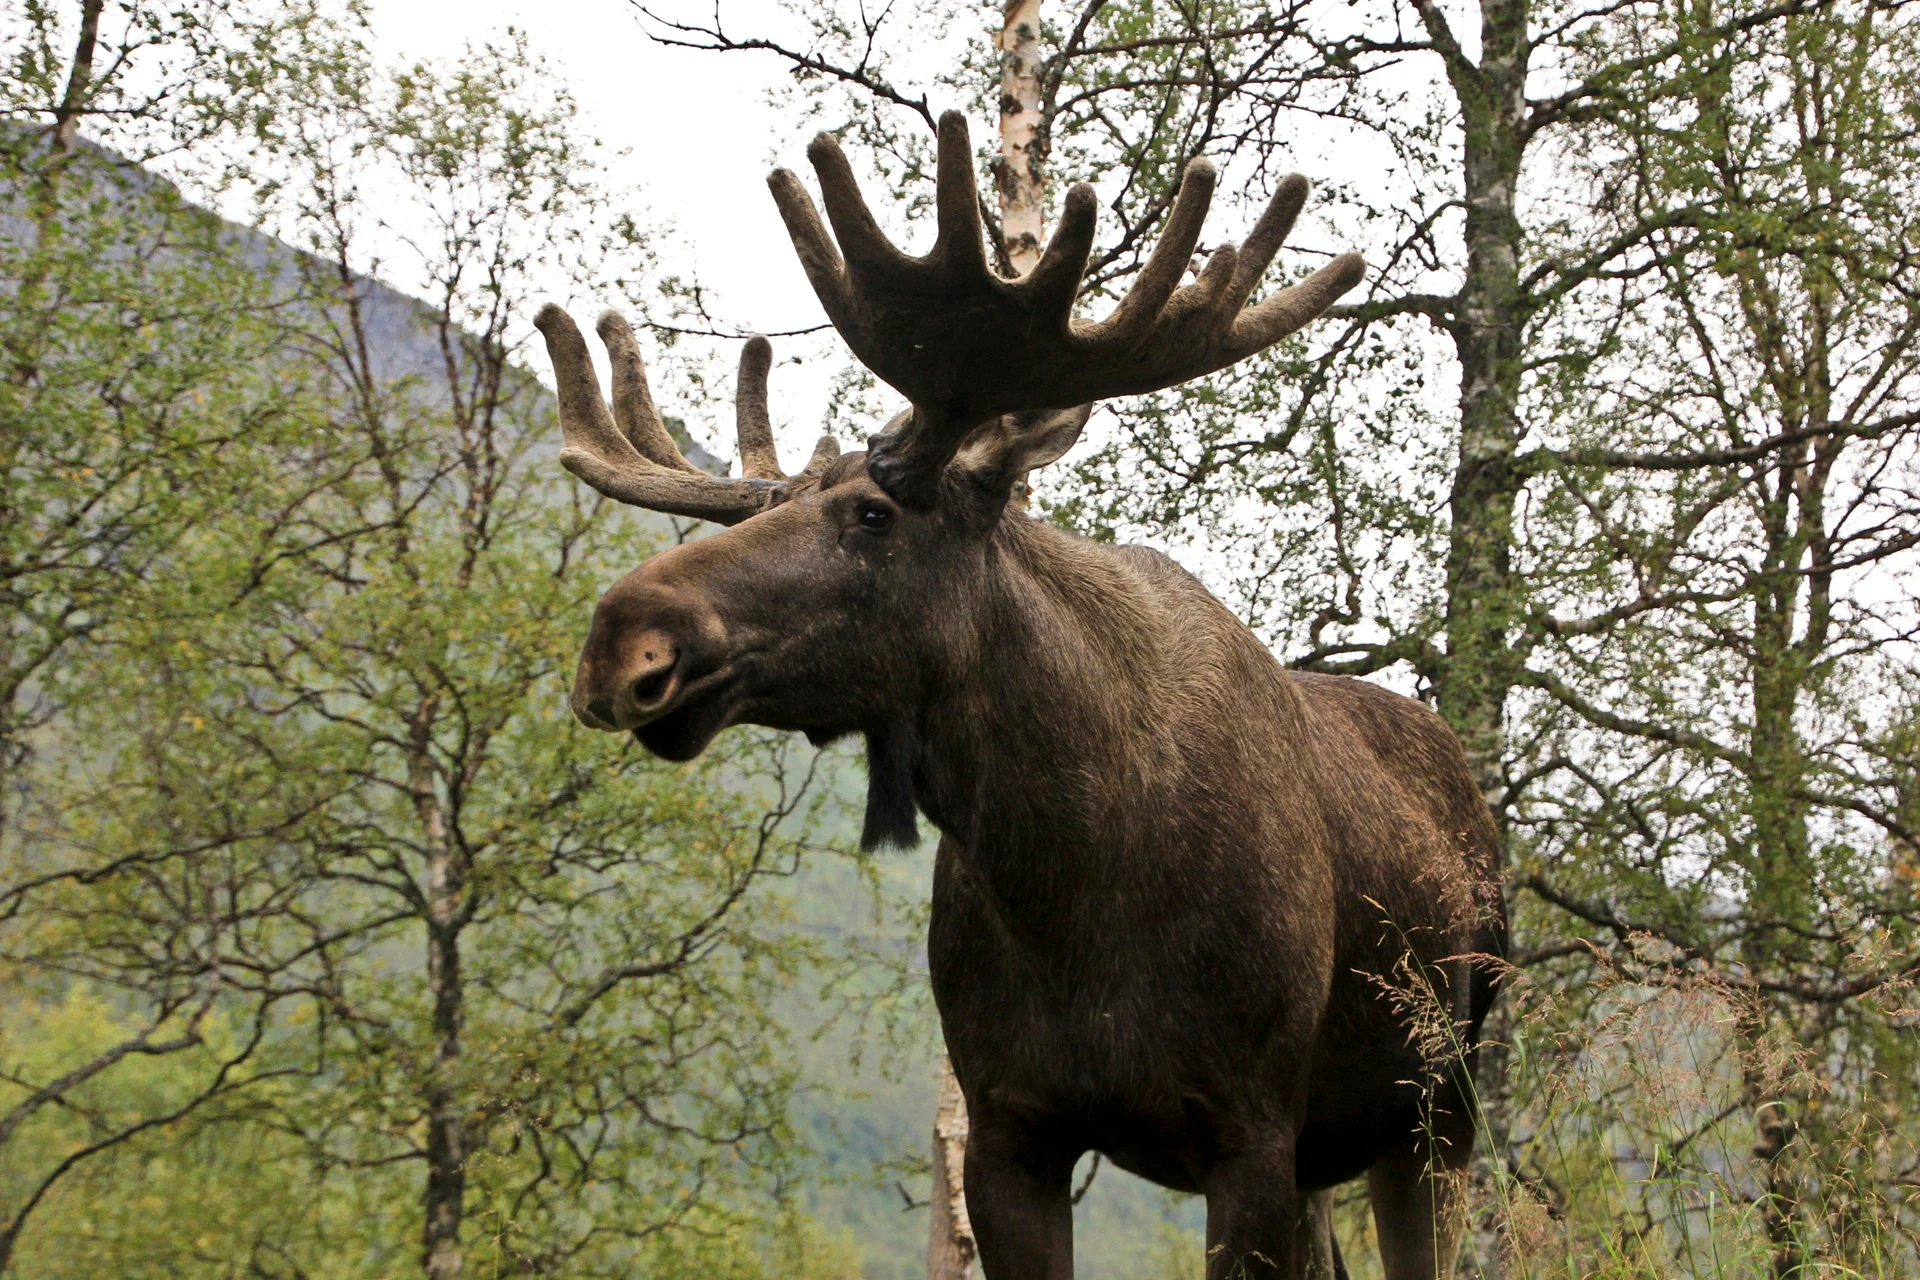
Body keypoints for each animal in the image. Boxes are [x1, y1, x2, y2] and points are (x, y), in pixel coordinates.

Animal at [533, 112, 1505, 1280]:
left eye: (873, 515)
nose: (620, 641)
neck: (1069, 877)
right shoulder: (1011, 1124)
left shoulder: (1253, 1128)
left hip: (1438, 1104)